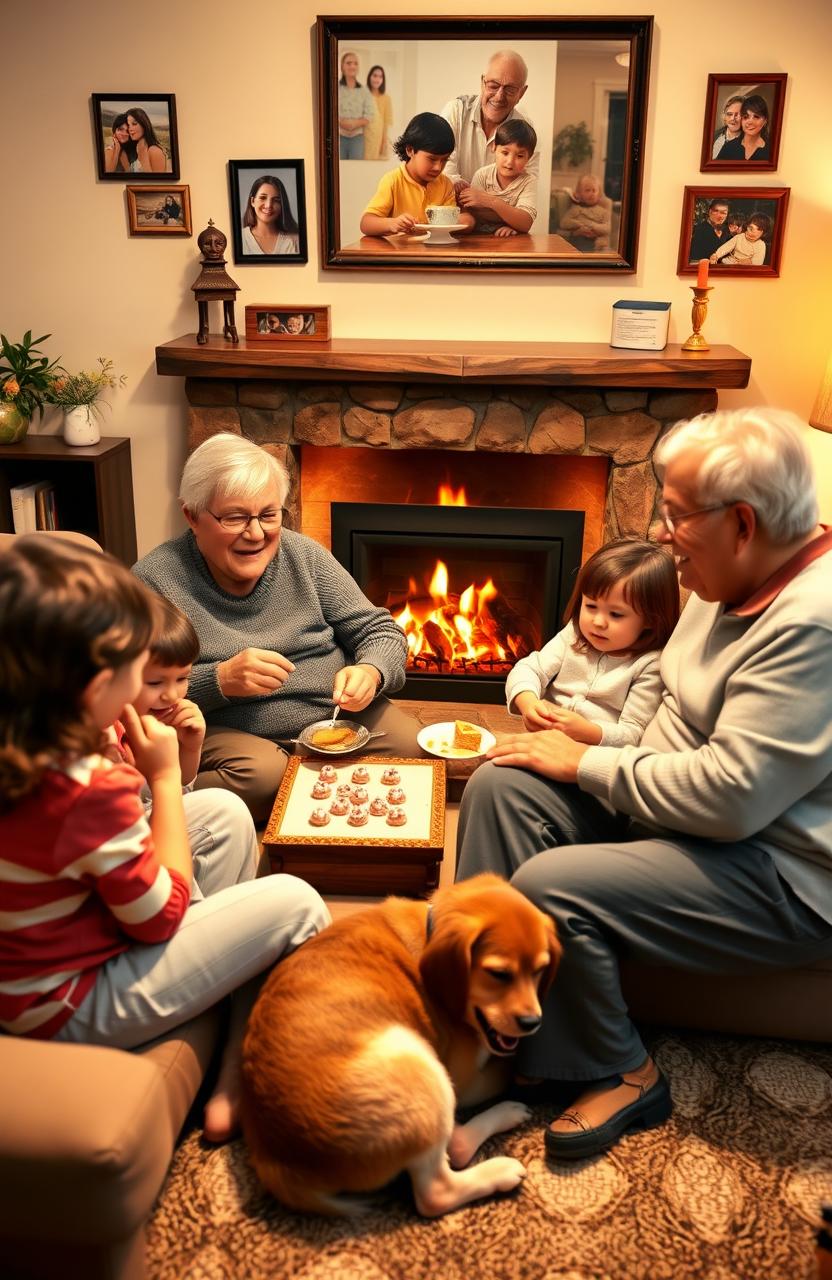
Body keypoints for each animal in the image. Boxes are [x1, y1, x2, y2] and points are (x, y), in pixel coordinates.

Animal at [243, 875, 560, 1213]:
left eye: (540, 970)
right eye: (498, 974)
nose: (532, 1022)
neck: (430, 931)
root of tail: (282, 1166)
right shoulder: (466, 1079)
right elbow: (503, 1070)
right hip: (420, 1063)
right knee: (442, 1181)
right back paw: (501, 1158)